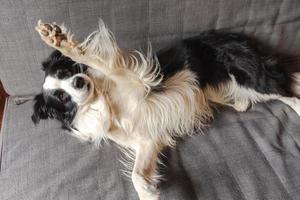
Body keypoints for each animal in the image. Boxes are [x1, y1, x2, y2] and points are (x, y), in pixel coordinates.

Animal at [31, 19, 300, 200]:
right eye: (62, 97)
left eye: (66, 72)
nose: (79, 81)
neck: (102, 101)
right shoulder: (146, 140)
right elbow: (137, 175)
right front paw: (148, 191)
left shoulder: (133, 77)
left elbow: (92, 58)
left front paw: (59, 41)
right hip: (215, 89)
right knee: (253, 98)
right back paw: (237, 103)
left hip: (250, 78)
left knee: (289, 94)